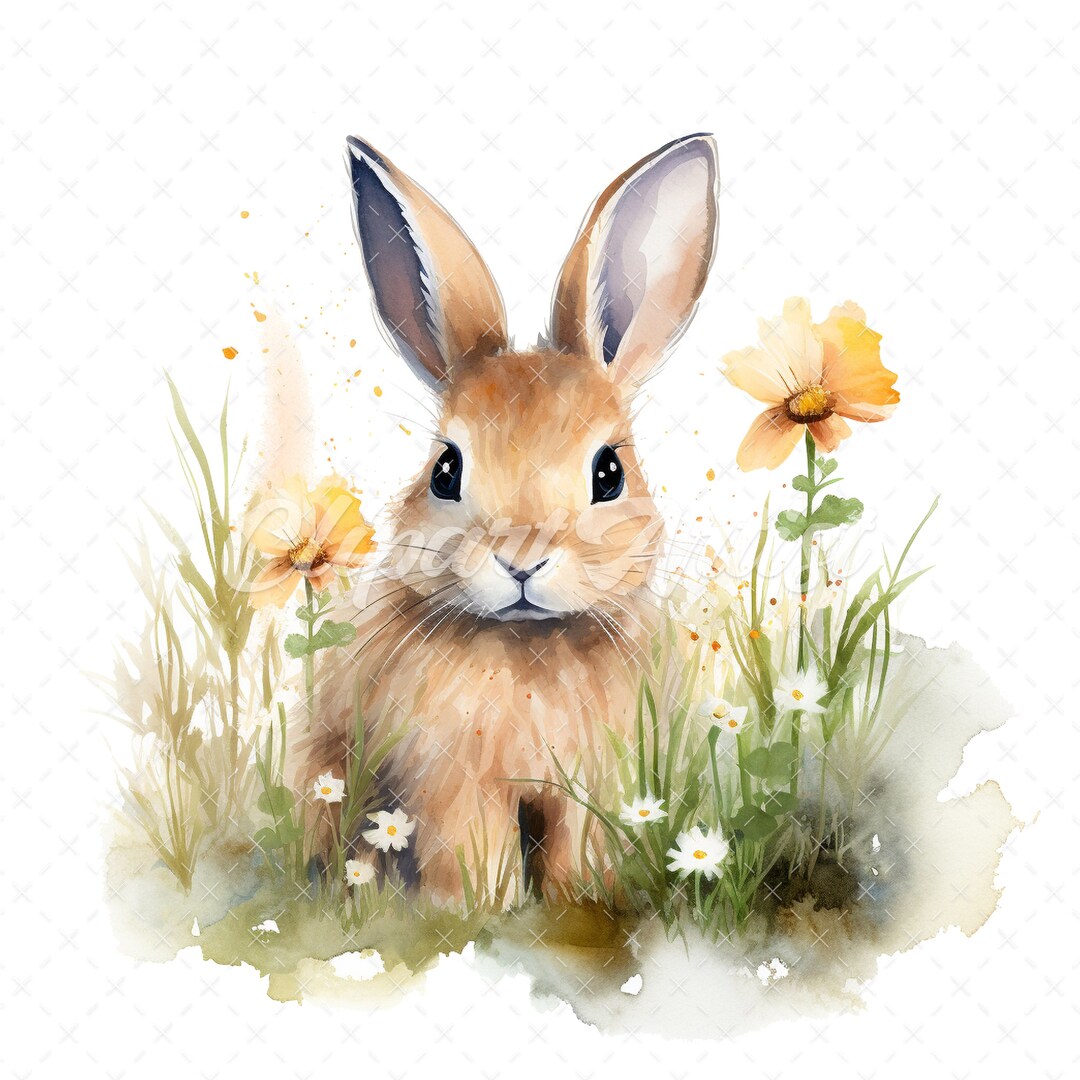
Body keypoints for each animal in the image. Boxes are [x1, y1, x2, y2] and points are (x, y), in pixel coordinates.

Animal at [294, 133, 719, 904]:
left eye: (609, 473)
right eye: (446, 470)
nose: (522, 560)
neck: (530, 646)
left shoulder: (595, 786)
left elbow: (581, 853)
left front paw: (583, 902)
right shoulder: (453, 784)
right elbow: (473, 854)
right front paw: (477, 911)